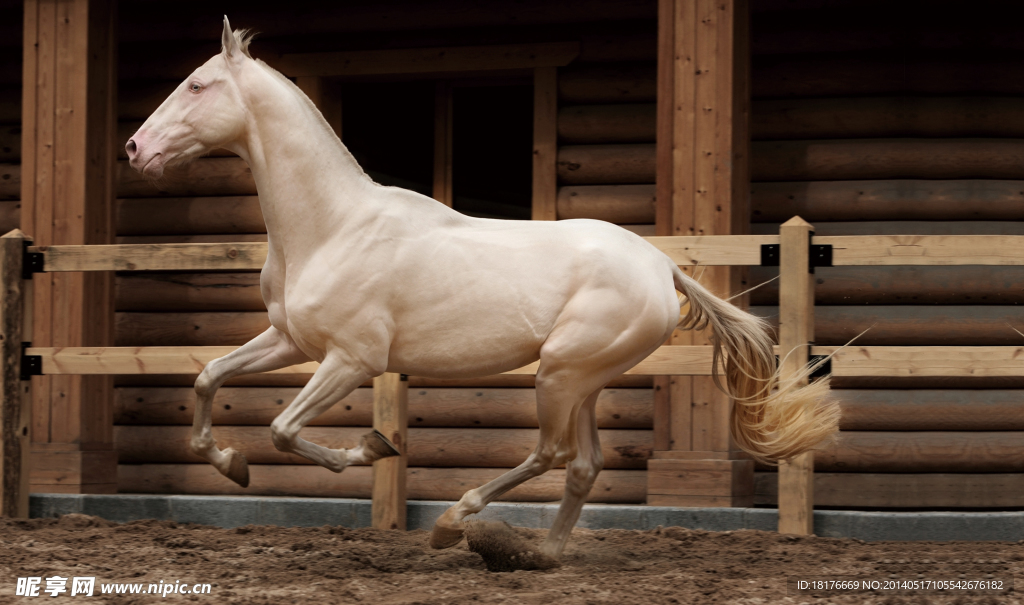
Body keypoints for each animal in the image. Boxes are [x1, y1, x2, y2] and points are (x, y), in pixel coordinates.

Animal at [123, 18, 835, 556]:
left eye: (196, 85)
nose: (134, 149)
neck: (333, 226)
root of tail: (661, 266)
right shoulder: (290, 341)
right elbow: (209, 378)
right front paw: (229, 464)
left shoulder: (352, 361)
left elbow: (282, 428)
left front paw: (370, 448)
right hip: (583, 380)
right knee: (583, 465)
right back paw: (542, 556)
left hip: (560, 374)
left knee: (550, 454)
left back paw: (452, 523)